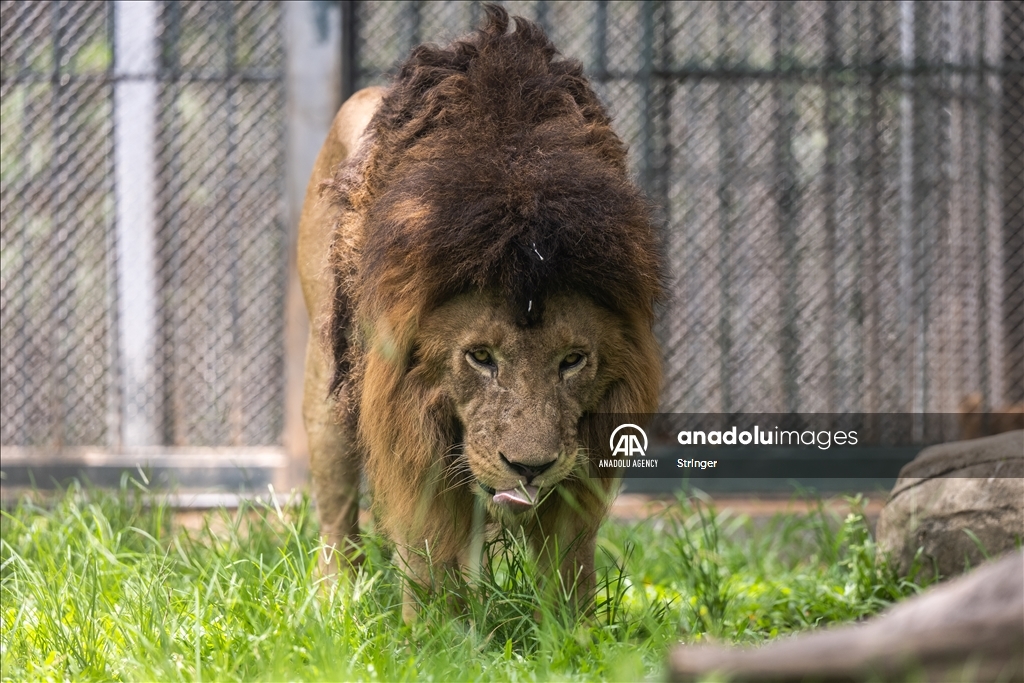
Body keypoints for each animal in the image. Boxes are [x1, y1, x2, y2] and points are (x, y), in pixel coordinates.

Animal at [296, 5, 663, 622]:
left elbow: (568, 559)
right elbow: (426, 545)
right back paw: (336, 603)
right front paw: (434, 632)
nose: (530, 468)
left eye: (573, 360)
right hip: (328, 387)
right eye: (480, 357)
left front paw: (572, 631)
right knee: (337, 518)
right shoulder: (404, 415)